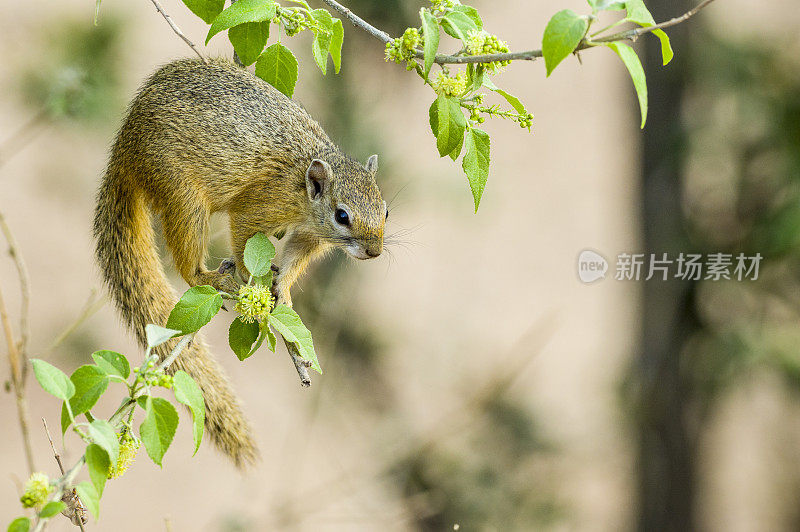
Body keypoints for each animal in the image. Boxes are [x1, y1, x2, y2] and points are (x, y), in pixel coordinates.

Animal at [94, 56, 388, 468]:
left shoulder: (309, 237)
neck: (302, 188)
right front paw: (255, 286)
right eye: (342, 216)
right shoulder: (260, 206)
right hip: (184, 197)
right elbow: (245, 237)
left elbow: (294, 262)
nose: (374, 251)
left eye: (386, 210)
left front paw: (284, 292)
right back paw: (218, 281)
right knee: (188, 268)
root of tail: (124, 149)